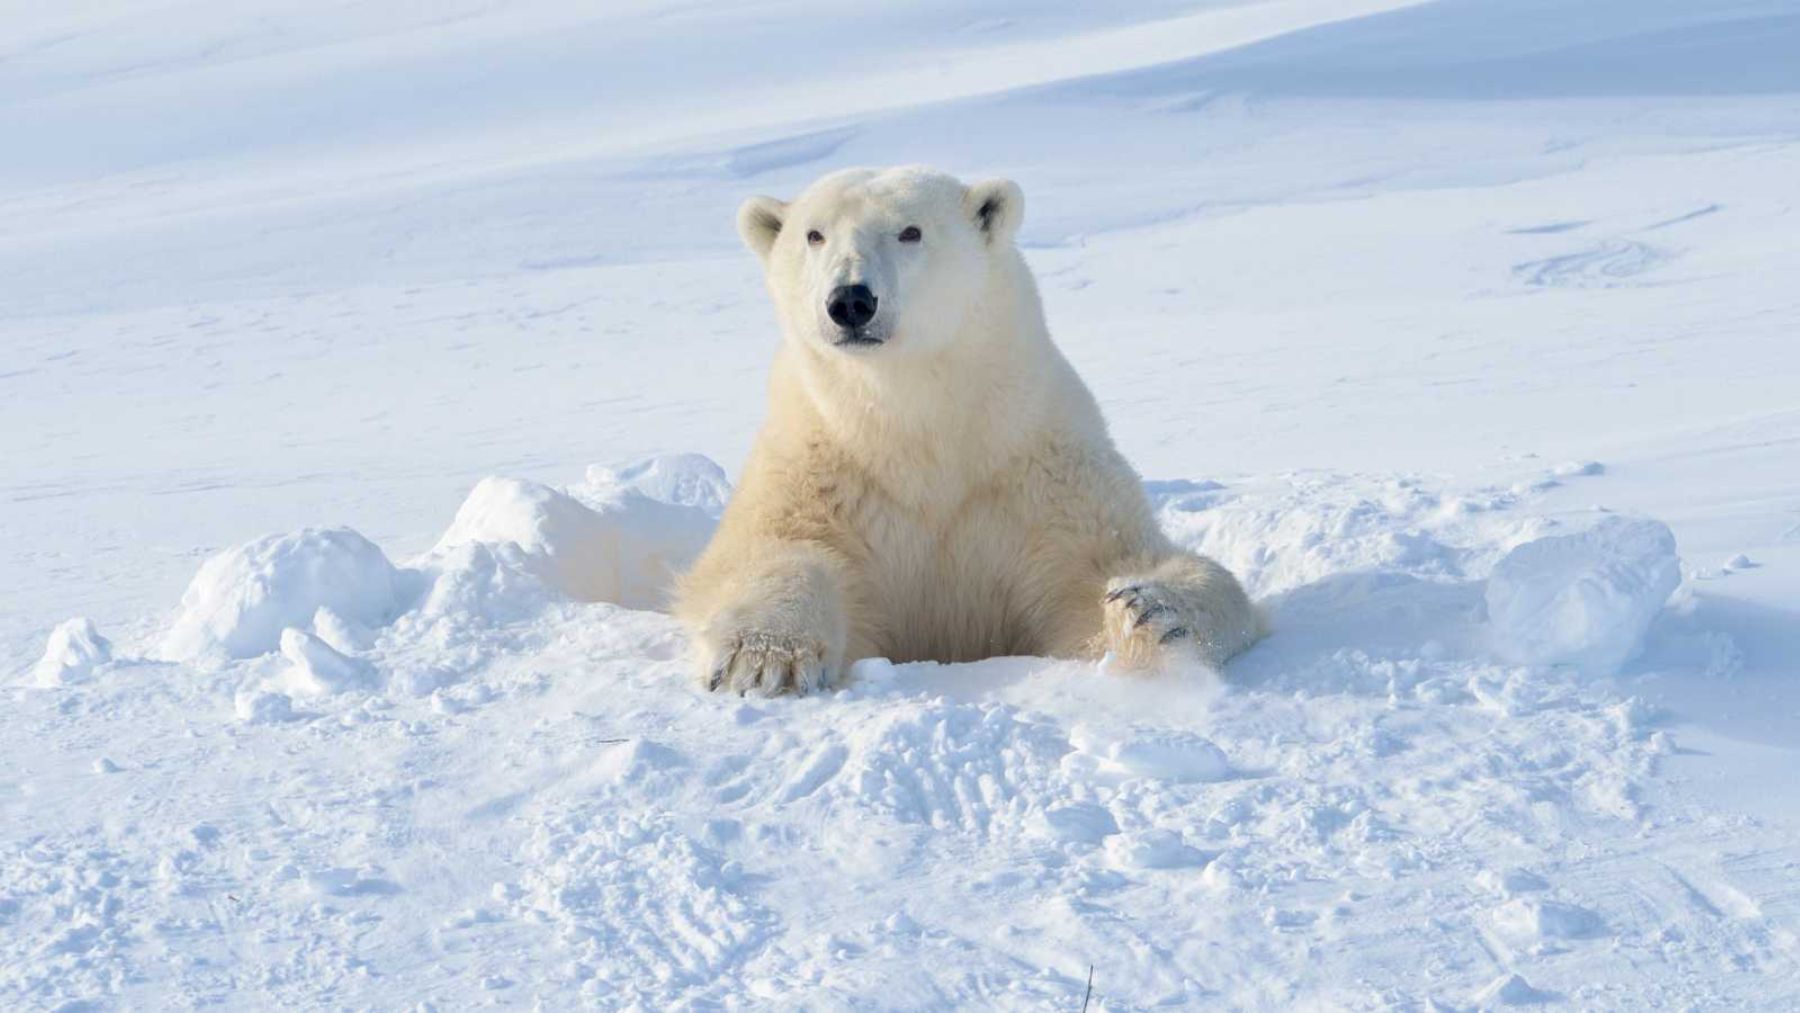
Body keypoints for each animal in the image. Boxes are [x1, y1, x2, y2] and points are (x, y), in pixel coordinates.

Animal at [676, 166, 1267, 698]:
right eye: (813, 234)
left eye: (910, 231)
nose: (850, 301)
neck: (917, 429)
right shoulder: (821, 464)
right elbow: (770, 549)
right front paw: (760, 658)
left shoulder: (1041, 468)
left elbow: (1102, 567)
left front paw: (1151, 608)